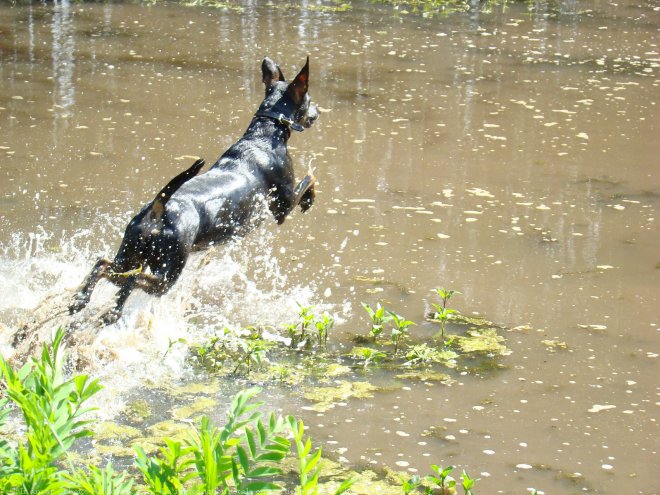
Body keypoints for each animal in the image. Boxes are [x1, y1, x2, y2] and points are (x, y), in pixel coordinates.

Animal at [71, 57, 318, 326]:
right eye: (309, 100)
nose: (317, 112)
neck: (265, 132)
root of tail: (160, 208)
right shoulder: (283, 207)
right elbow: (310, 178)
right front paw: (310, 198)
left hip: (131, 255)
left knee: (104, 265)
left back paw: (80, 299)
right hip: (167, 271)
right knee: (133, 279)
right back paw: (110, 309)